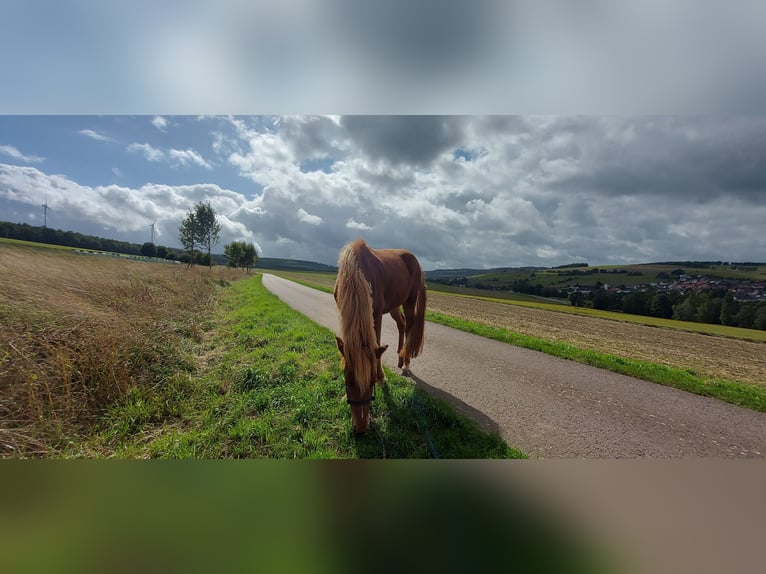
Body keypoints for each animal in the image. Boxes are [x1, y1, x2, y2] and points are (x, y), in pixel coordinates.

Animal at [333, 239, 427, 433]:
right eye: (347, 382)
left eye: (371, 383)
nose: (361, 428)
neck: (356, 270)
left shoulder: (376, 315)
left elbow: (376, 344)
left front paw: (381, 376)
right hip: (394, 305)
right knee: (402, 324)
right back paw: (399, 358)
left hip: (409, 301)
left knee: (409, 327)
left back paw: (405, 363)